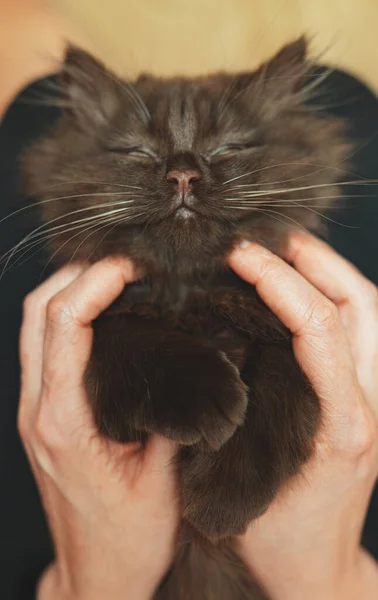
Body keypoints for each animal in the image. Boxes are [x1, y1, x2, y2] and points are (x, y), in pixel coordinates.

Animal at [22, 38, 348, 600]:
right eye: (137, 151)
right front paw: (207, 398)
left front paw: (222, 496)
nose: (183, 174)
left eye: (228, 148)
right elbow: (134, 340)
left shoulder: (289, 318)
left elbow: (281, 377)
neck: (186, 293)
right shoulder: (100, 326)